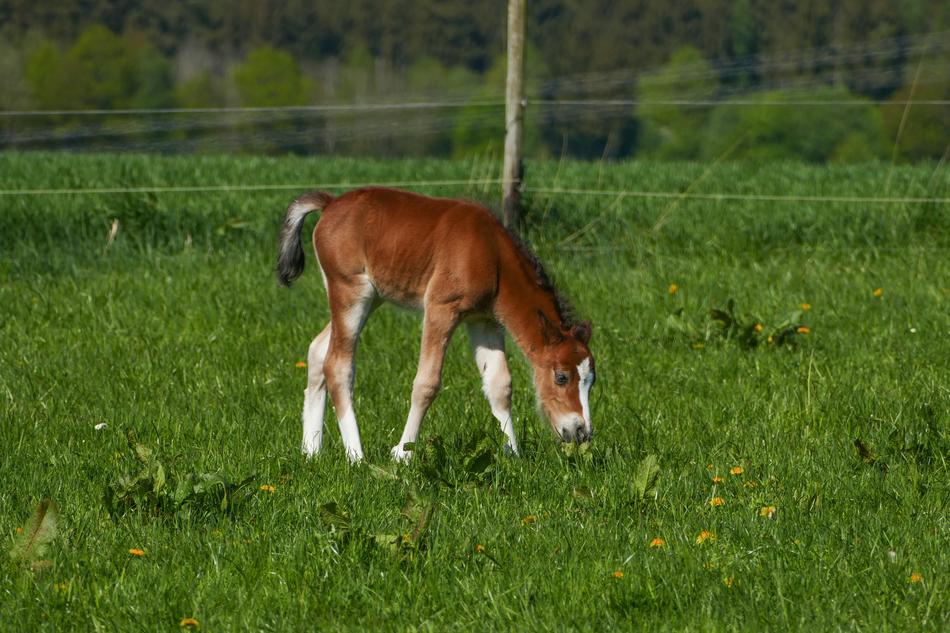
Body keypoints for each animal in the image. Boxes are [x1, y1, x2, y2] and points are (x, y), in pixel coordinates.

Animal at [277, 187, 595, 463]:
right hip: (351, 292)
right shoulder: (441, 309)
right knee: (338, 364)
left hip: (372, 296)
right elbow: (426, 383)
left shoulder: (484, 321)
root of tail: (330, 203)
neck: (492, 255)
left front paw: (513, 455)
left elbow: (499, 384)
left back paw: (311, 451)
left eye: (591, 381)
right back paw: (356, 456)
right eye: (561, 377)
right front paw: (403, 453)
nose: (582, 431)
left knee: (317, 350)